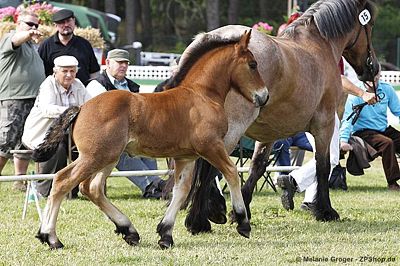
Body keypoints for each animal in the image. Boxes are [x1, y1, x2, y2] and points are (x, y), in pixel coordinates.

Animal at [32, 31, 268, 249]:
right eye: (253, 64)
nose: (264, 96)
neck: (202, 95)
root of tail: (81, 107)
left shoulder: (186, 157)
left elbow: (181, 191)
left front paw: (165, 234)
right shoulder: (211, 147)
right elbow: (232, 173)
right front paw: (242, 222)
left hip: (108, 157)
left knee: (92, 188)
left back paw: (128, 230)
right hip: (95, 156)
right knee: (62, 181)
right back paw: (51, 237)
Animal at [183, 0, 380, 233]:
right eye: (370, 26)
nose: (373, 69)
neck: (318, 45)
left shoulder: (268, 132)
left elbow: (258, 166)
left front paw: (241, 209)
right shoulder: (324, 124)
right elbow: (322, 166)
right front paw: (325, 211)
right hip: (232, 129)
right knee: (210, 166)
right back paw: (198, 220)